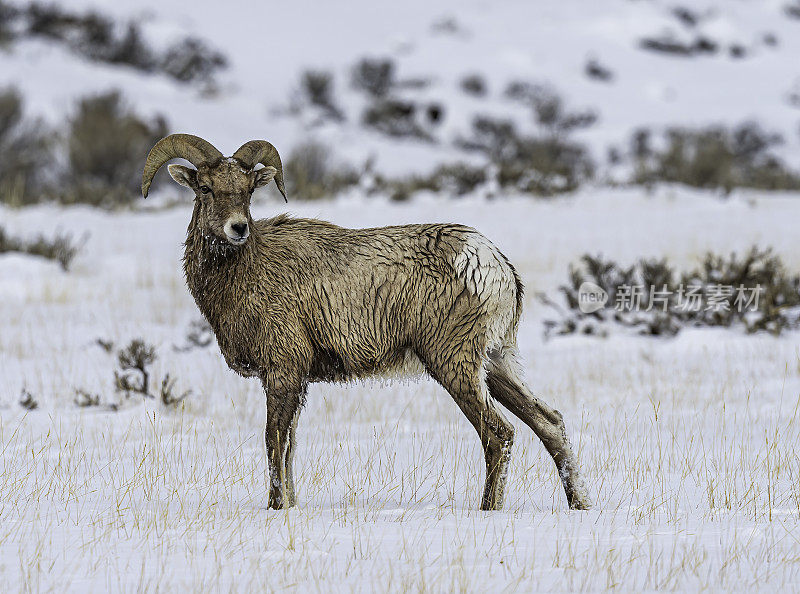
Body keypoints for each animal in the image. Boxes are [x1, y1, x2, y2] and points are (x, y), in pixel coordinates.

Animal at [141, 134, 592, 508]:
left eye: (249, 190)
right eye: (205, 187)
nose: (238, 229)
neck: (246, 271)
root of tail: (492, 263)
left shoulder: (283, 372)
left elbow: (273, 441)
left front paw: (276, 507)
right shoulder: (297, 381)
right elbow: (289, 447)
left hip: (455, 365)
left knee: (499, 436)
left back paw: (487, 510)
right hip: (496, 363)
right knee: (549, 424)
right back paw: (579, 505)